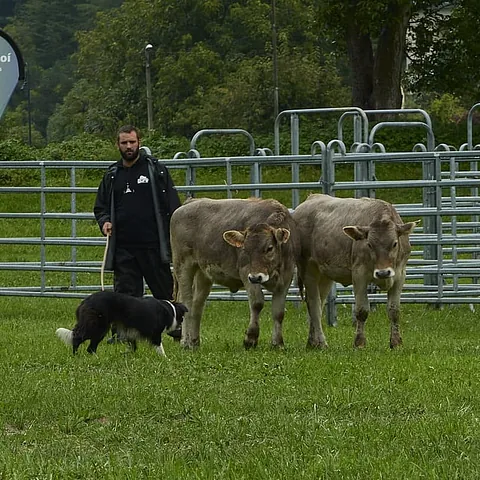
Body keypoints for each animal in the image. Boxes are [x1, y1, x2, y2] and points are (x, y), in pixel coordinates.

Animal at [170, 196, 300, 348]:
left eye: (269, 248)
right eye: (245, 249)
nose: (256, 278)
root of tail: (190, 202)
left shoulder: (286, 278)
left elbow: (279, 312)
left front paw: (278, 343)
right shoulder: (246, 273)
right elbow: (257, 303)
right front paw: (251, 338)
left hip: (202, 273)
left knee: (197, 305)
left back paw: (194, 341)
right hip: (183, 266)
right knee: (186, 302)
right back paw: (185, 341)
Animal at [292, 194, 416, 348]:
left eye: (394, 243)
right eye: (369, 244)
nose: (382, 273)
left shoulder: (399, 275)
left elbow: (394, 310)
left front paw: (396, 342)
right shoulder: (359, 275)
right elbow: (361, 310)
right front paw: (359, 342)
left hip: (324, 276)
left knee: (318, 305)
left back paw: (313, 342)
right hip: (308, 270)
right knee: (314, 305)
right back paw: (321, 342)